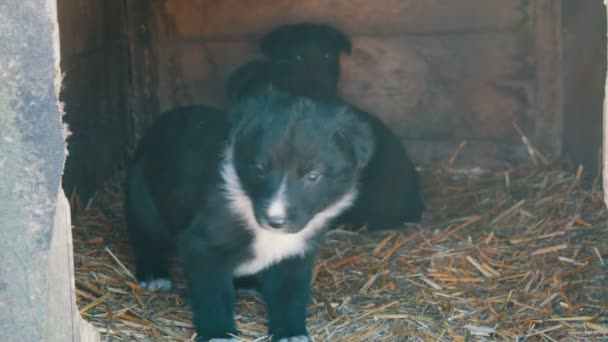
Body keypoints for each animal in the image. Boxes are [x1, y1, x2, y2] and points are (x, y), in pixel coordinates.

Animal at [124, 87, 376, 342]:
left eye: (313, 176)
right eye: (260, 169)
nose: (275, 221)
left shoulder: (296, 252)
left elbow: (290, 295)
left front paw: (290, 333)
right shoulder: (203, 245)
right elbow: (213, 293)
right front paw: (218, 332)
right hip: (141, 198)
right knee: (144, 236)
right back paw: (154, 272)